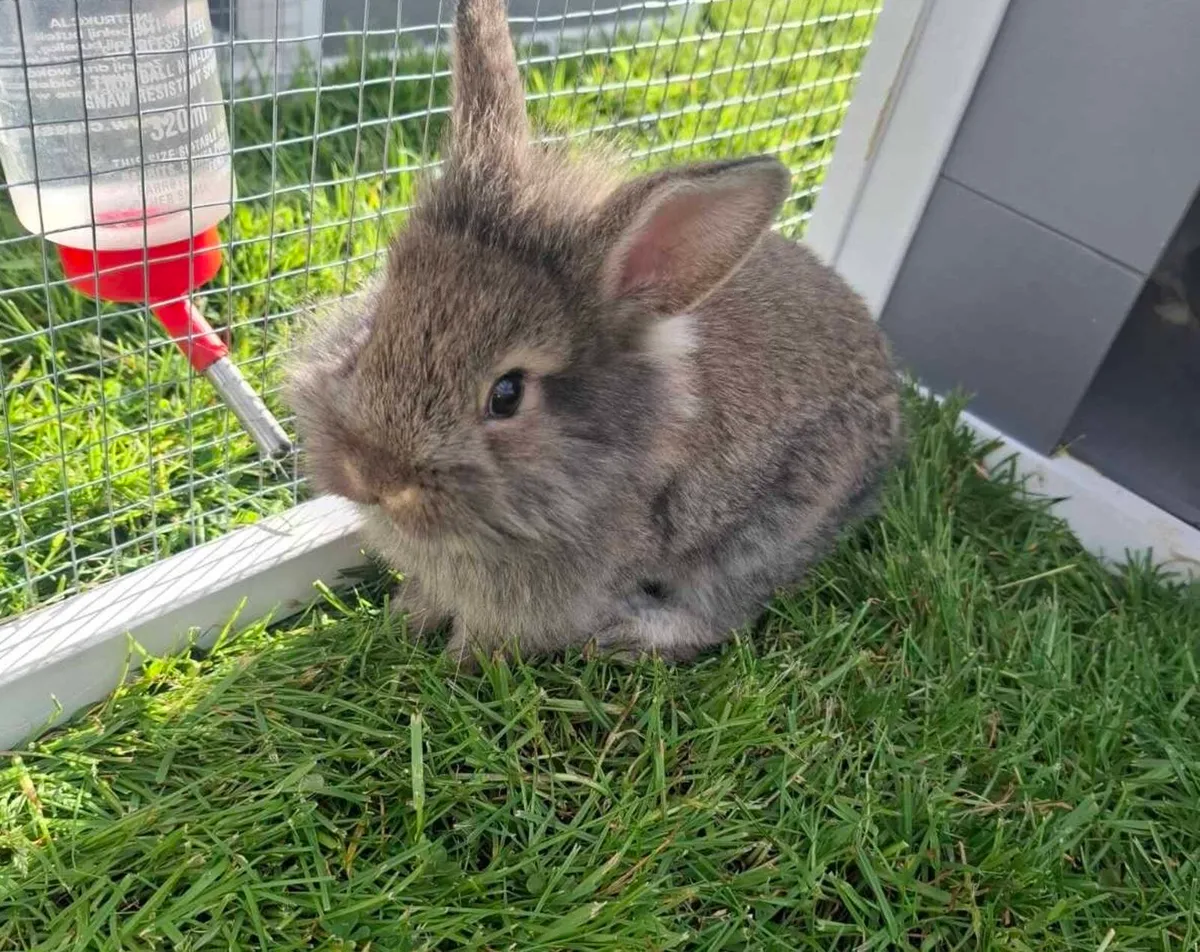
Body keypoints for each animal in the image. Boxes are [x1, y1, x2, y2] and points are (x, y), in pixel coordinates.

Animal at [286, 0, 903, 667]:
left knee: (723, 614)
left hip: (767, 534)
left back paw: (628, 635)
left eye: (507, 394)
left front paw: (457, 662)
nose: (373, 476)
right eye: (375, 326)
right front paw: (405, 620)